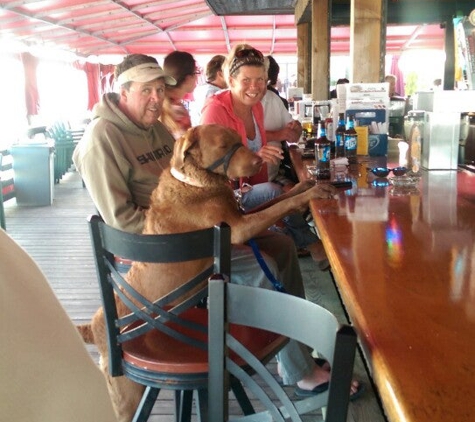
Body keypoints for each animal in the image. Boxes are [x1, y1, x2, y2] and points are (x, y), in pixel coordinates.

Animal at [80, 123, 334, 420]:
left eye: (238, 140)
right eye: (224, 146)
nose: (259, 161)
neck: (196, 182)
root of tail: (94, 327)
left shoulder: (242, 215)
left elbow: (281, 198)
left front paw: (305, 185)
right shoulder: (240, 228)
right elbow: (280, 205)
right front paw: (312, 193)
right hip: (126, 392)